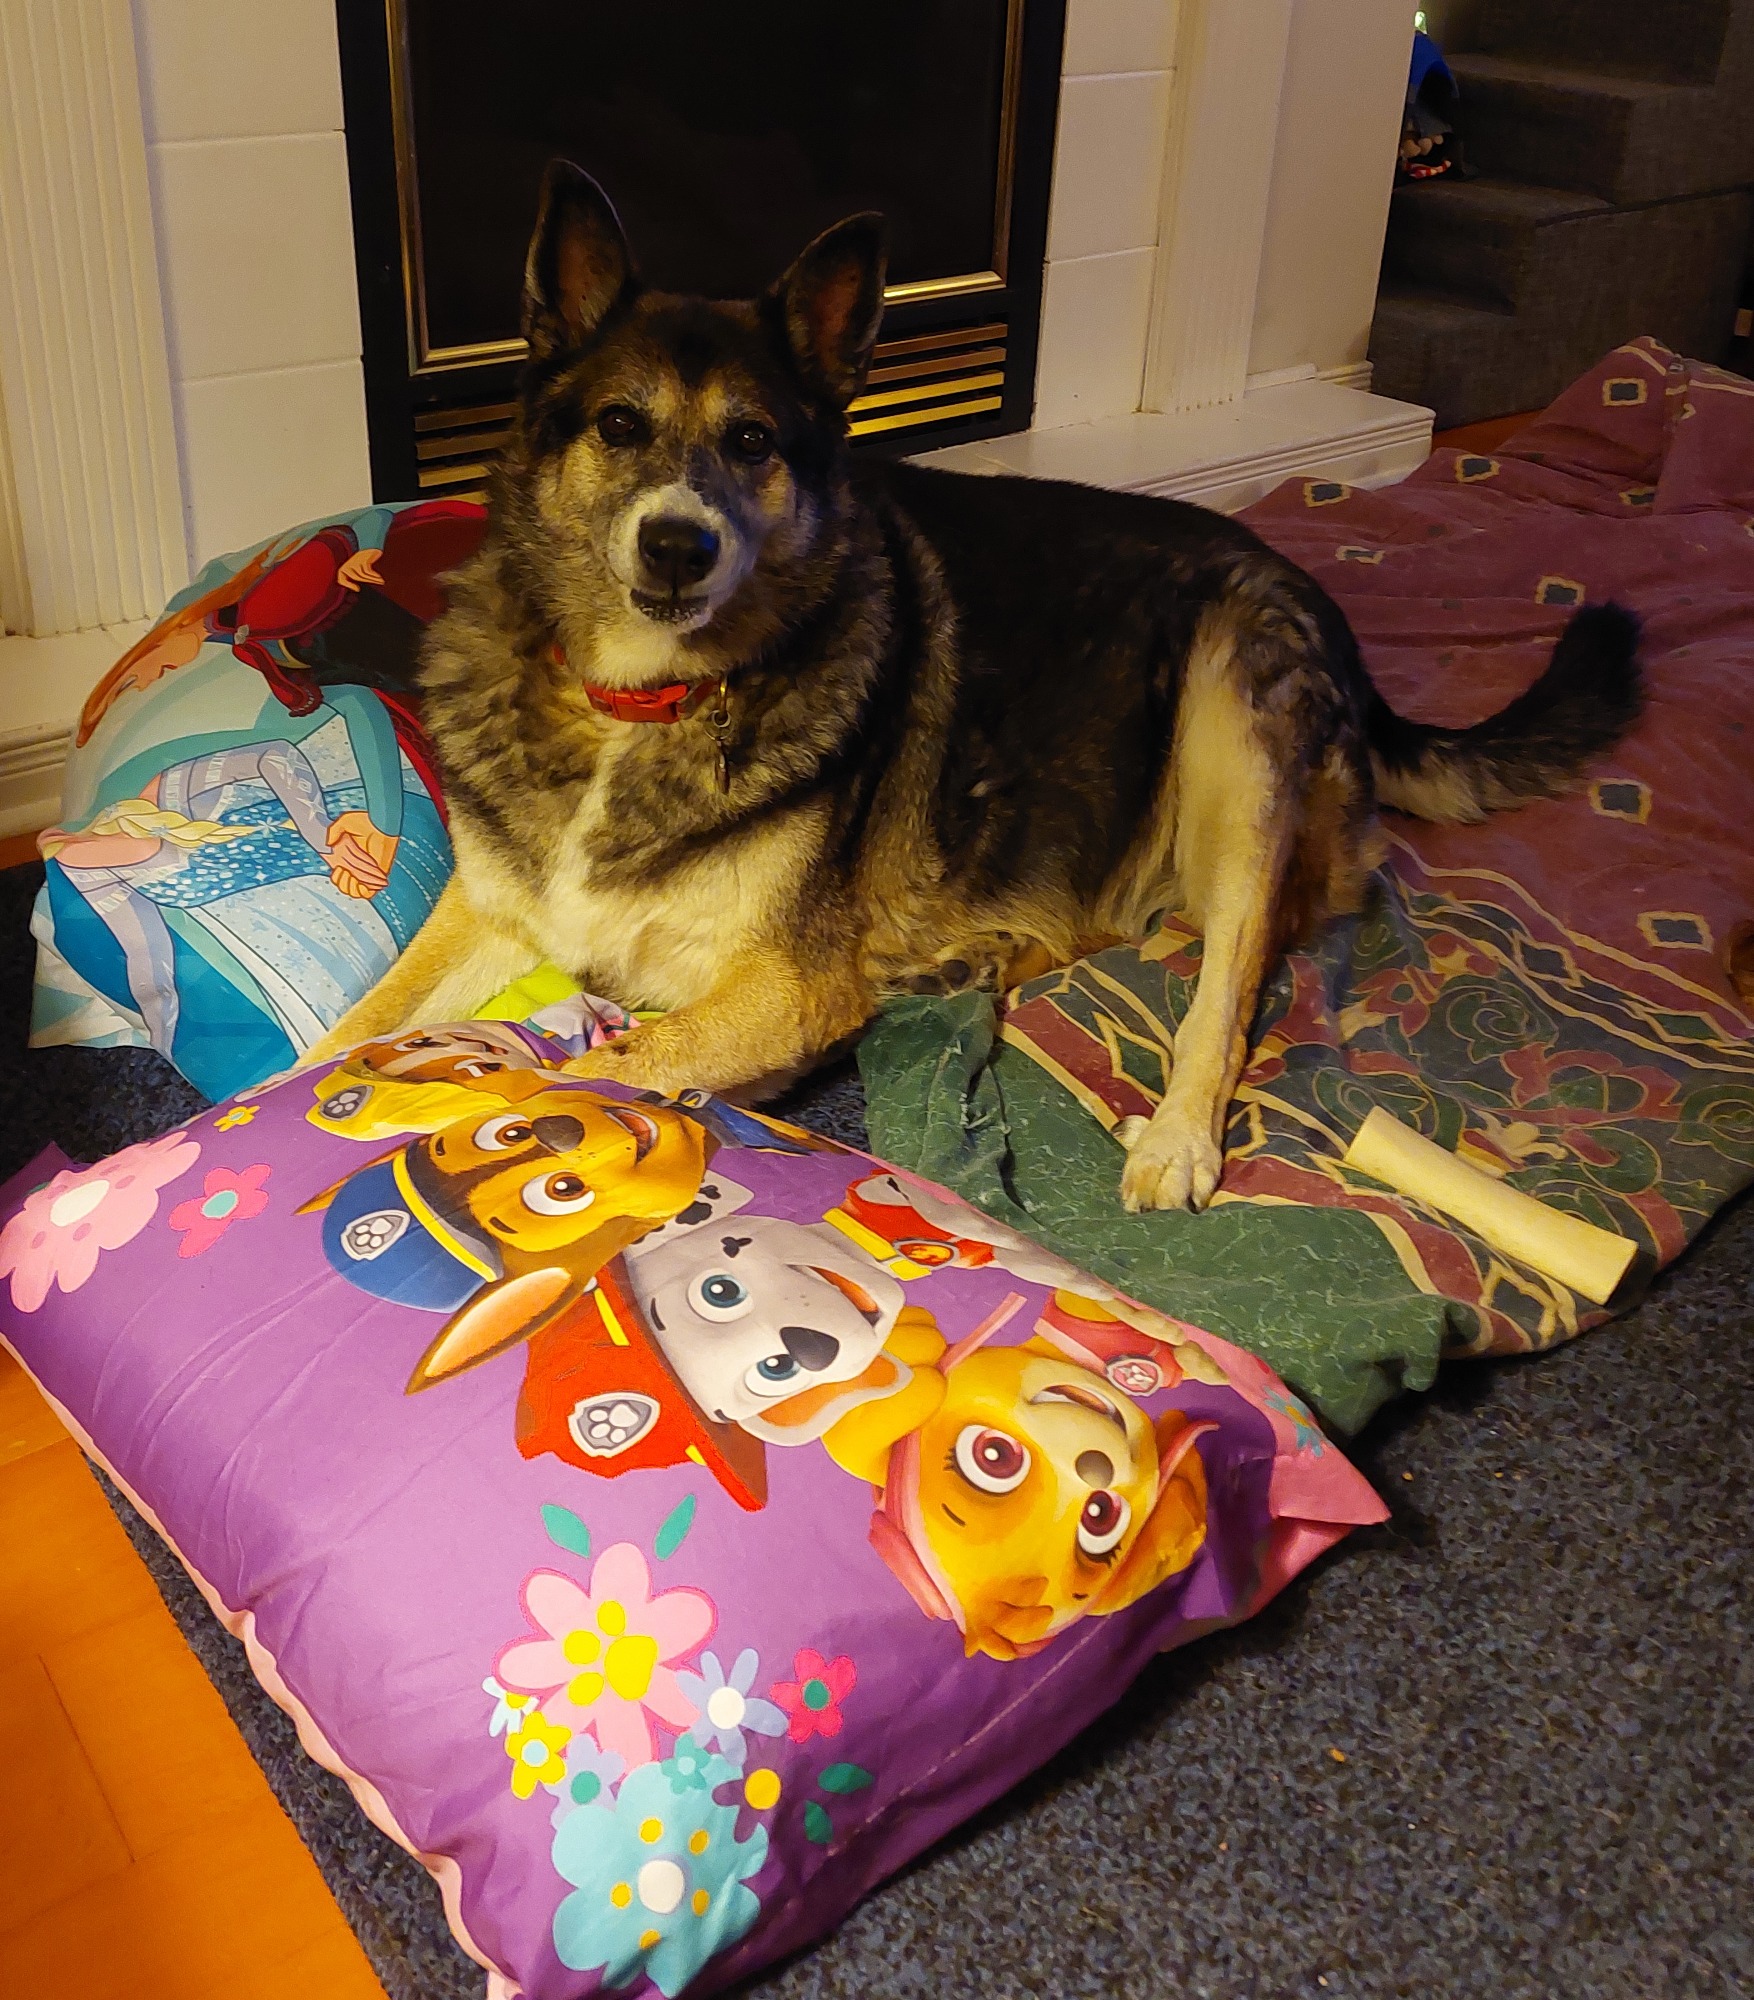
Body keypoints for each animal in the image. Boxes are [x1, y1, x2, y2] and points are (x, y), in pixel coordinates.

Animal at [303, 160, 1643, 1214]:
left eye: (752, 442)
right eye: (620, 426)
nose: (679, 547)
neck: (637, 703)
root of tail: (1309, 593)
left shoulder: (788, 987)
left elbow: (612, 1064)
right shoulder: (489, 913)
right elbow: (355, 1027)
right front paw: (310, 1086)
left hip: (1232, 703)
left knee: (1234, 967)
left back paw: (1174, 1135)